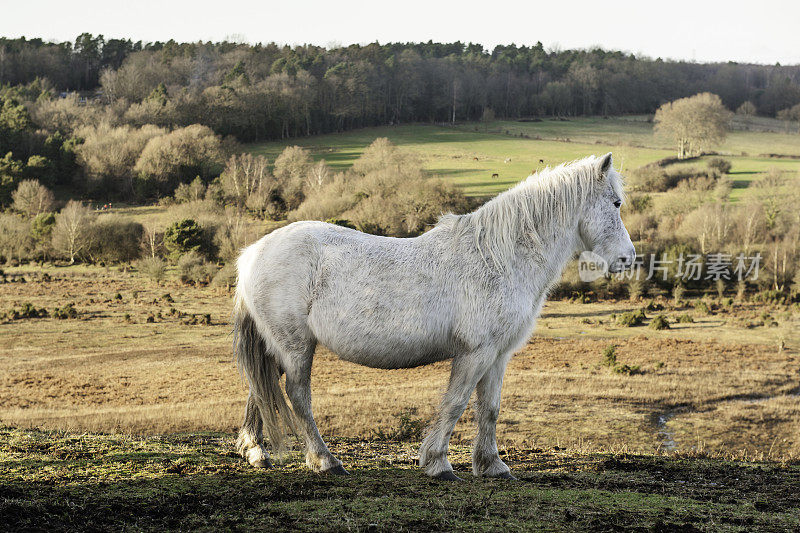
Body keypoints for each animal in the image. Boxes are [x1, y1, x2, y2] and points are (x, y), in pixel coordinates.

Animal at [234, 153, 636, 478]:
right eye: (616, 202)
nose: (628, 258)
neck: (499, 258)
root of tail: (253, 252)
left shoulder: (498, 354)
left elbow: (489, 408)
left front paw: (491, 465)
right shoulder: (475, 352)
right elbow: (456, 403)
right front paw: (438, 463)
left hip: (277, 345)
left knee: (260, 388)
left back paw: (257, 452)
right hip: (296, 346)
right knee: (297, 396)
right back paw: (325, 461)